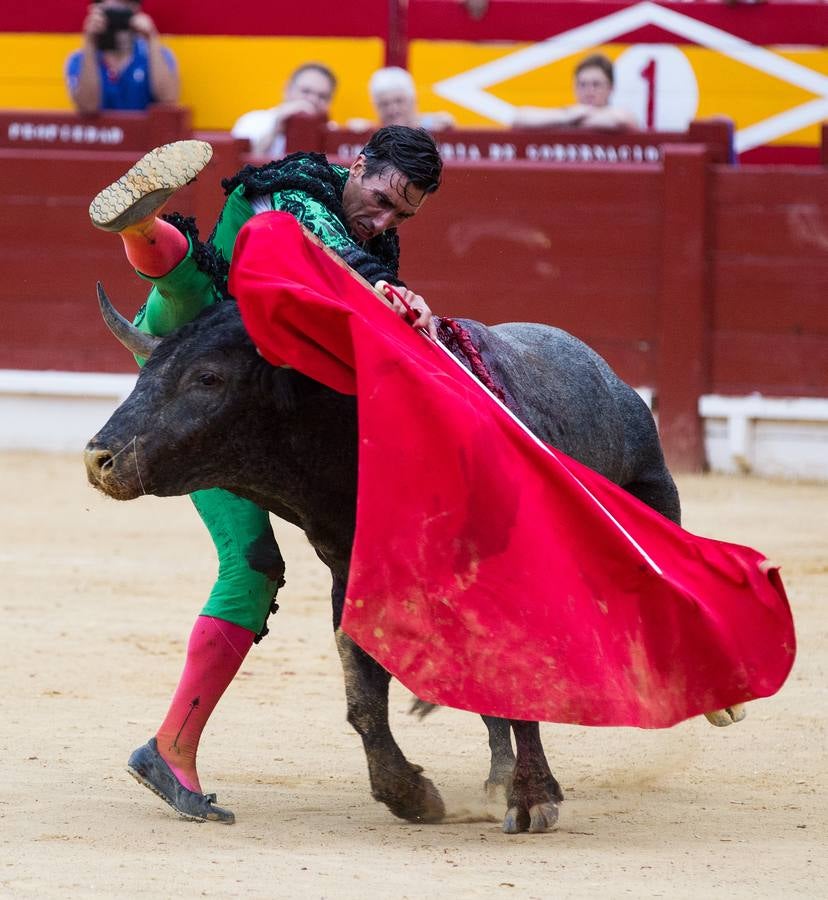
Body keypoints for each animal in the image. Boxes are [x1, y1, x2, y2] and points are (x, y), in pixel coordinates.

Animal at [84, 284, 684, 832]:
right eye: (144, 371)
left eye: (208, 378)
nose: (98, 459)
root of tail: (609, 376)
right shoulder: (352, 574)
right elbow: (365, 697)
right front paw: (411, 795)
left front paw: (533, 799)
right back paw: (493, 778)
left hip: (653, 500)